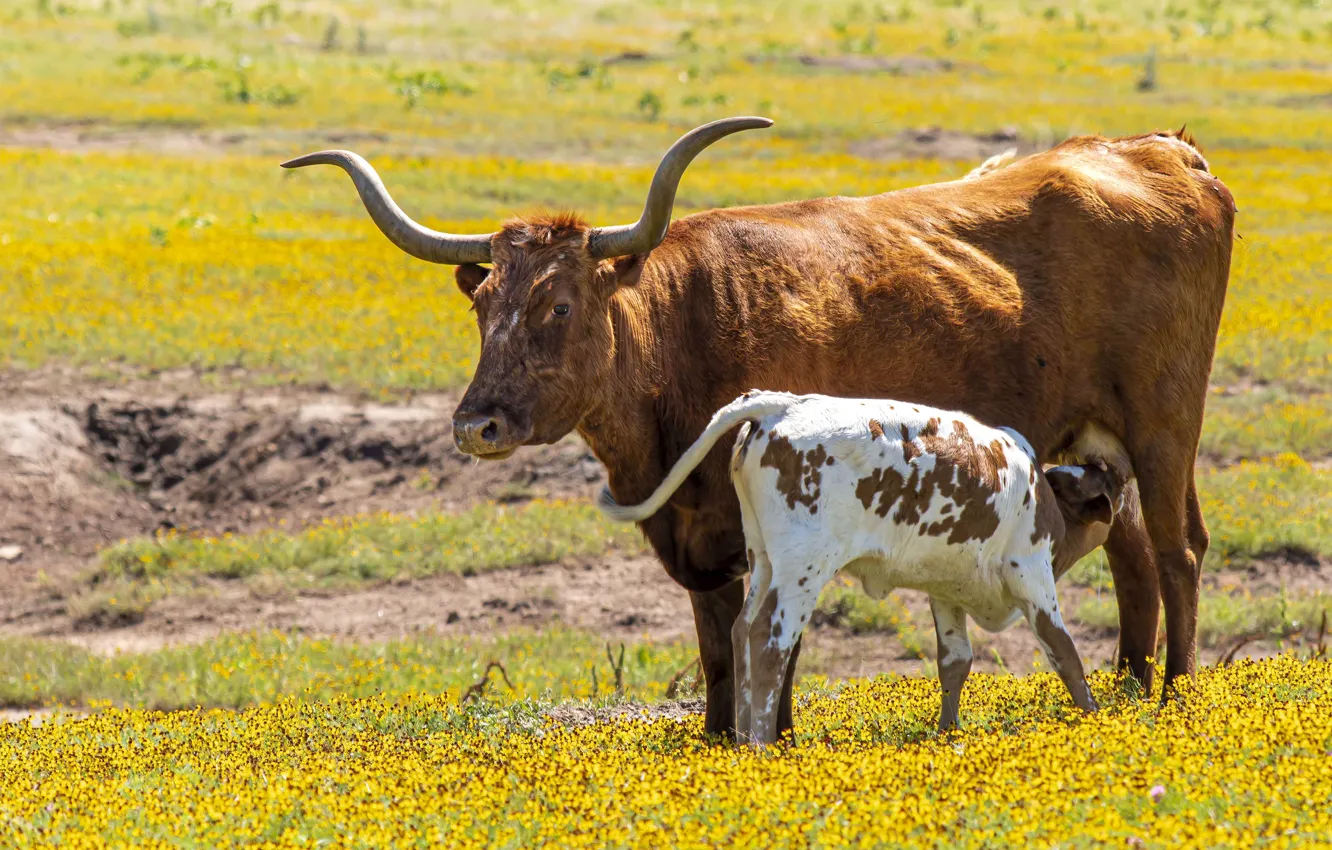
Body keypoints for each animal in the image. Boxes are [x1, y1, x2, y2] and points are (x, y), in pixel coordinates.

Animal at [598, 390, 1127, 745]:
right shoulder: (1033, 575)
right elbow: (1065, 654)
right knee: (769, 640)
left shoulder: (946, 589)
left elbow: (955, 661)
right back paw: (764, 747)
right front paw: (1095, 718)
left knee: (741, 630)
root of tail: (782, 404)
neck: (1037, 489)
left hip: (763, 558)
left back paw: (747, 738)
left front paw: (947, 732)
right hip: (802, 568)